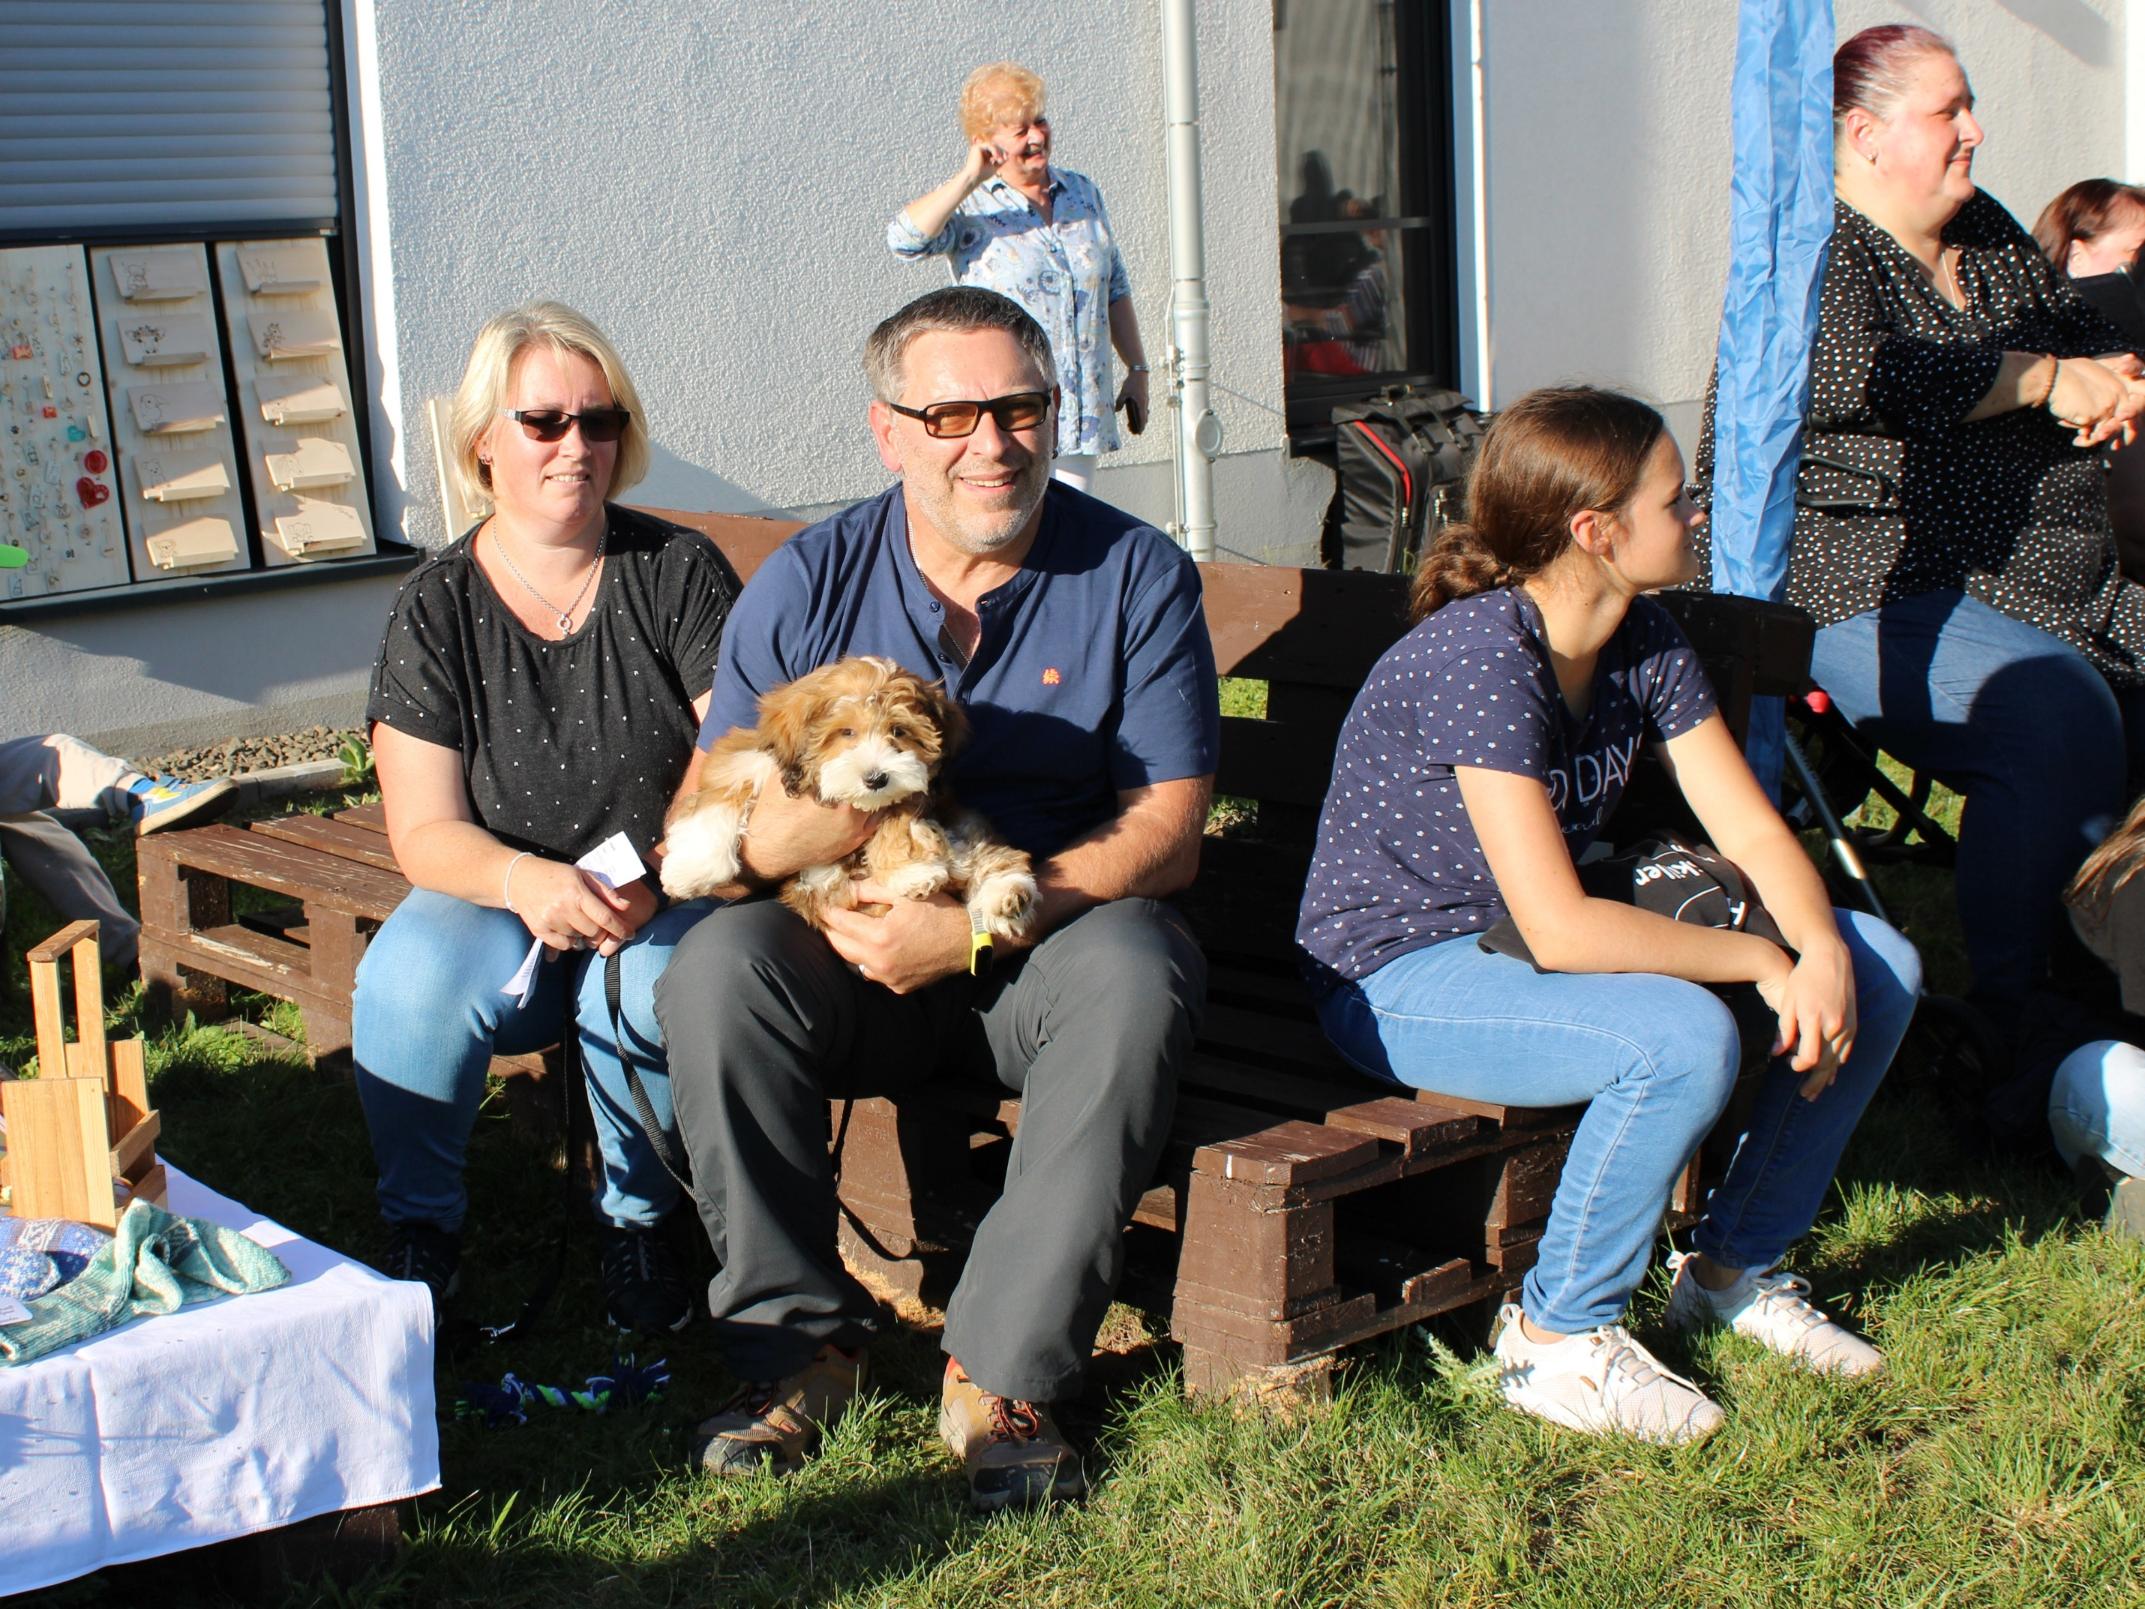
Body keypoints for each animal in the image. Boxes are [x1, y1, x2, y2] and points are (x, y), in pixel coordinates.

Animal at [664, 656, 1042, 943]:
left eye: (899, 731)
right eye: (845, 732)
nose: (876, 778)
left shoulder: (916, 794)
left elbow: (898, 822)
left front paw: (911, 872)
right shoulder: (743, 760)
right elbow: (718, 798)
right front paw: (692, 869)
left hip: (962, 829)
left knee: (987, 856)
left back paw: (1007, 896)